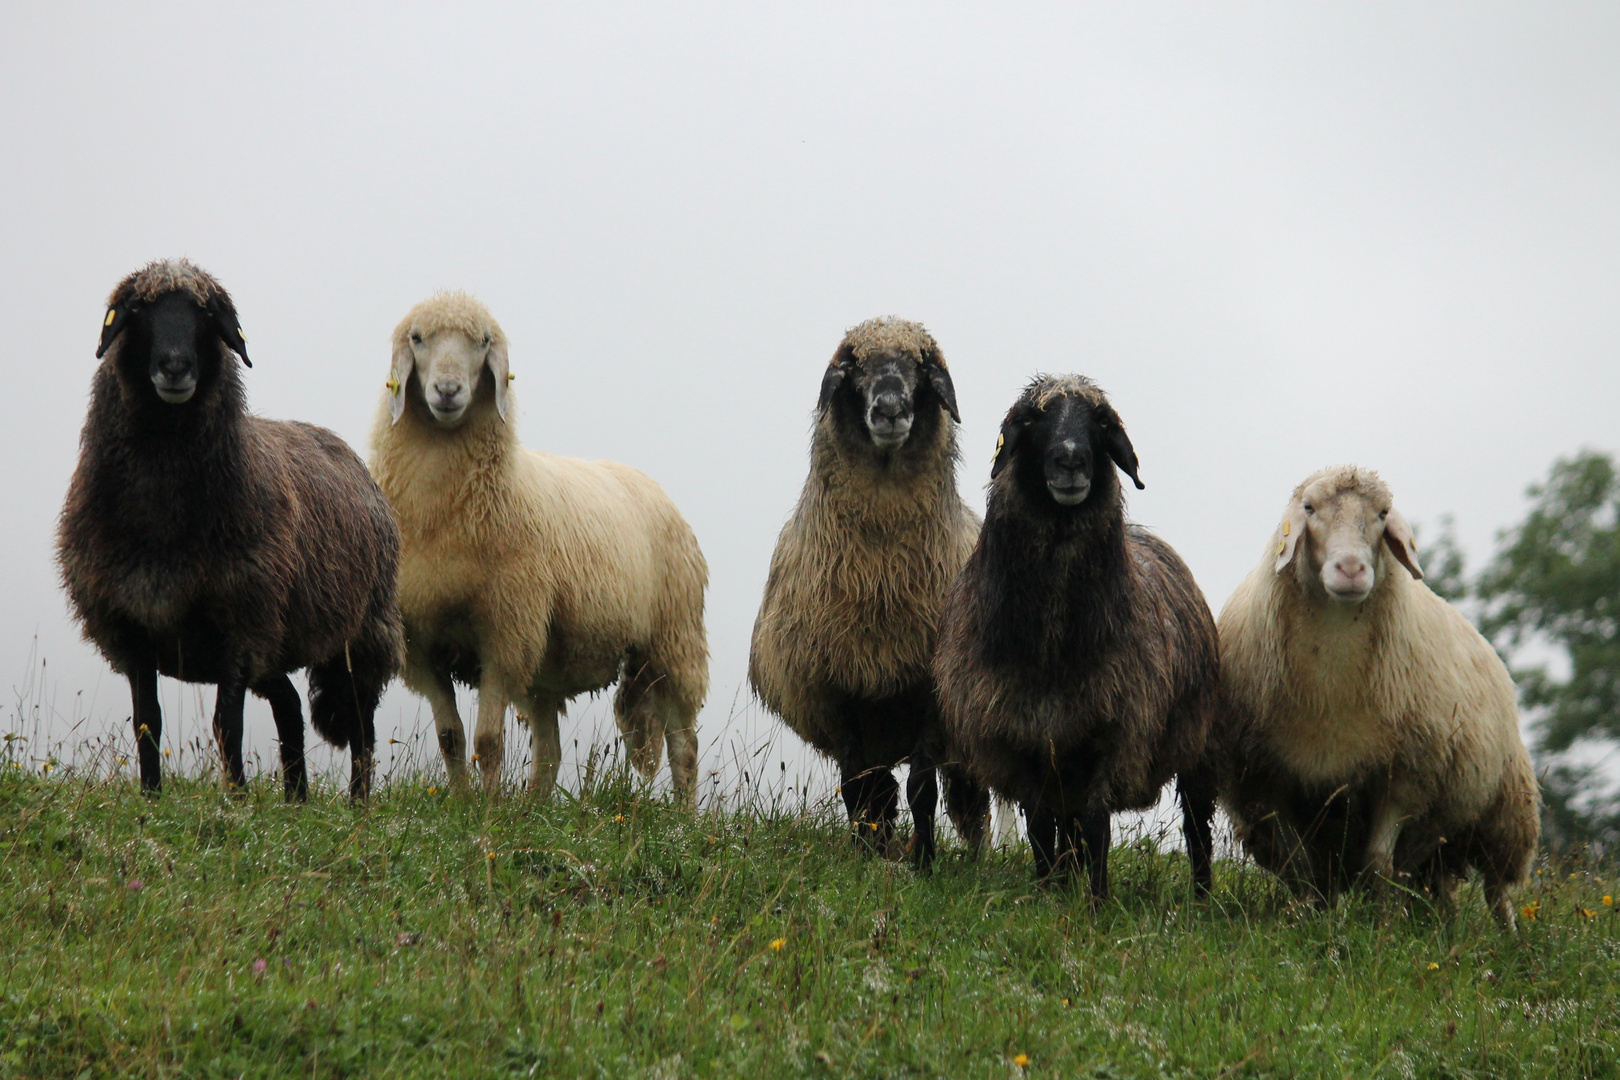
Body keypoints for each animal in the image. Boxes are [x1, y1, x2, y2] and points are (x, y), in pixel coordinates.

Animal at [59, 259, 401, 803]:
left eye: (206, 315)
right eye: (138, 311)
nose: (175, 367)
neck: (163, 519)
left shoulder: (239, 623)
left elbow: (227, 724)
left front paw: (234, 800)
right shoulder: (132, 624)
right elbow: (147, 722)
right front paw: (152, 798)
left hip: (362, 633)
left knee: (361, 726)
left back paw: (357, 805)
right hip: (276, 644)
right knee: (290, 707)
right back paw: (296, 800)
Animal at [370, 291, 706, 799]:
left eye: (483, 341)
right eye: (417, 338)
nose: (447, 390)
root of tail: (650, 483)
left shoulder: (504, 633)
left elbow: (488, 742)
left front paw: (488, 811)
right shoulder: (422, 642)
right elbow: (451, 738)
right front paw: (462, 804)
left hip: (673, 640)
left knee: (683, 747)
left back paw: (683, 816)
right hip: (548, 662)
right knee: (549, 752)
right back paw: (531, 808)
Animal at [745, 314, 984, 867]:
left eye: (922, 366)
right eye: (853, 366)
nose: (891, 408)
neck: (880, 575)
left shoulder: (929, 697)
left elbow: (922, 789)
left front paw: (925, 864)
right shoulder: (838, 693)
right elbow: (856, 789)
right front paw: (861, 859)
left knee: (966, 797)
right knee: (877, 791)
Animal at [933, 375, 1218, 900]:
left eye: (1101, 423)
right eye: (1031, 420)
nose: (1070, 458)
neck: (1051, 645)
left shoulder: (1112, 734)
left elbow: (1098, 826)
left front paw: (1098, 902)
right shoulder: (1021, 741)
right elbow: (1042, 828)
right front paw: (1047, 893)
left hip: (1198, 744)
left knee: (1196, 827)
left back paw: (1203, 899)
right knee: (1066, 829)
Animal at [1211, 466, 1535, 932]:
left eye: (1383, 514)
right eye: (1309, 508)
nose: (1350, 568)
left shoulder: (1403, 775)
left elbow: (1378, 863)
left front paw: (1384, 929)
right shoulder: (1266, 780)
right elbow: (1301, 863)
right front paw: (1307, 924)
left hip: (1505, 809)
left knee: (1497, 889)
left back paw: (1510, 938)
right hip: (1442, 839)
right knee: (1441, 887)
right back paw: (1447, 929)